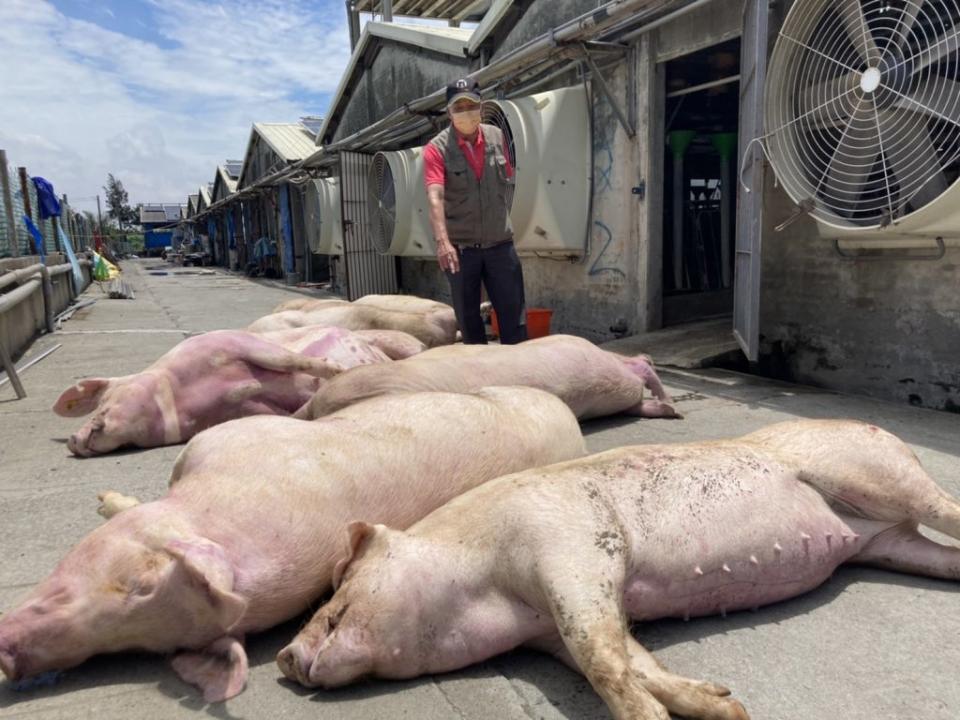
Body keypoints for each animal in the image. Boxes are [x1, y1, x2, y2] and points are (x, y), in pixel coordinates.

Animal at [282, 416, 960, 720]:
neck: (492, 596)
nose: (285, 657)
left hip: (880, 475)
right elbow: (630, 658)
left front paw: (655, 719)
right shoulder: (548, 629)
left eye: (337, 587)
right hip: (889, 545)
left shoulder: (572, 552)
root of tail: (888, 433)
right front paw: (728, 706)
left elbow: (601, 657)